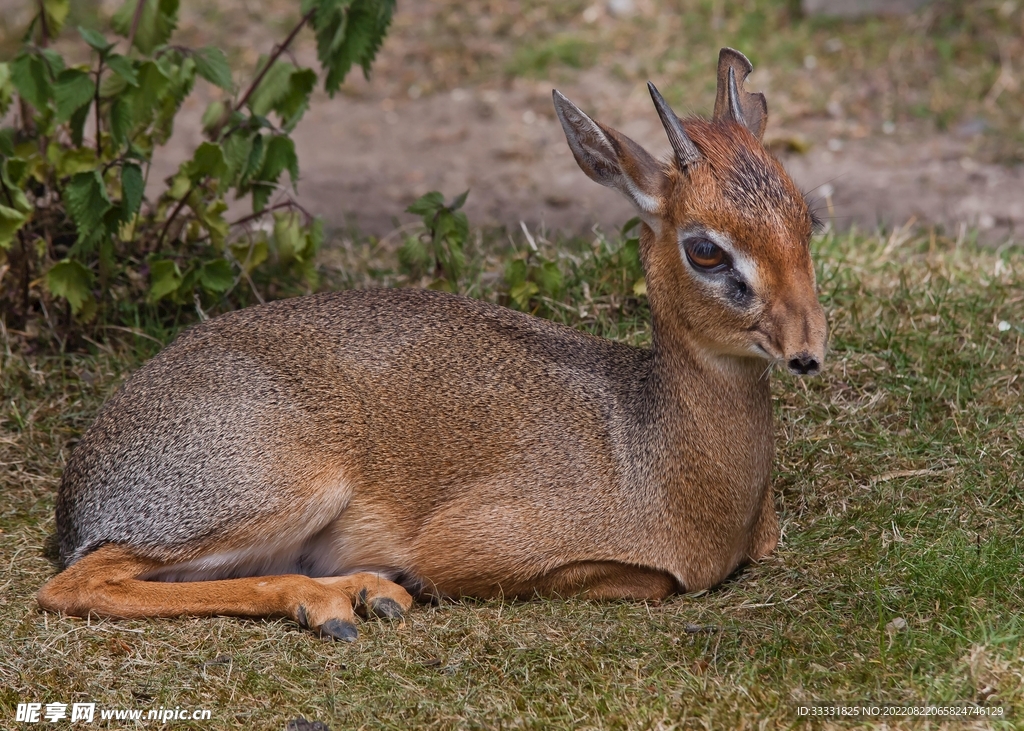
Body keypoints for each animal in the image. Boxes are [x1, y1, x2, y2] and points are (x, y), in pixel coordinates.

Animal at [38, 48, 826, 641]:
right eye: (706, 249)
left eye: (807, 216)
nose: (806, 348)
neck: (657, 458)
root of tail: (86, 481)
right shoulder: (474, 548)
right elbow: (648, 581)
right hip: (279, 486)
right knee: (74, 585)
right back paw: (340, 600)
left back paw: (362, 594)